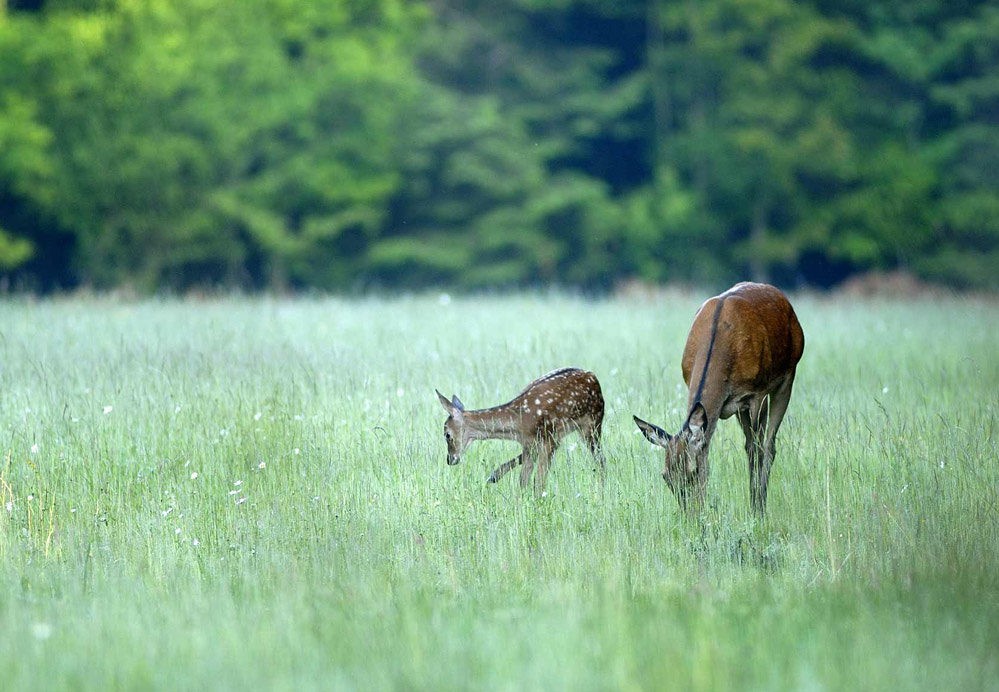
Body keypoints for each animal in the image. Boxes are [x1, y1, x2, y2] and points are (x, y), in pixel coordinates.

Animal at [436, 368, 604, 492]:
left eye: (447, 434)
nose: (450, 459)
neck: (519, 422)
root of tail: (593, 376)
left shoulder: (548, 439)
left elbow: (538, 483)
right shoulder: (529, 443)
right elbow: (523, 481)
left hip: (593, 422)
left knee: (601, 460)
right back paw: (494, 476)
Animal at [636, 282, 808, 512]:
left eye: (693, 471)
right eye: (666, 477)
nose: (690, 515)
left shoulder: (758, 392)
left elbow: (759, 450)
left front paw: (757, 510)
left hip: (788, 376)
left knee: (768, 446)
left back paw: (760, 502)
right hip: (741, 408)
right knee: (750, 445)